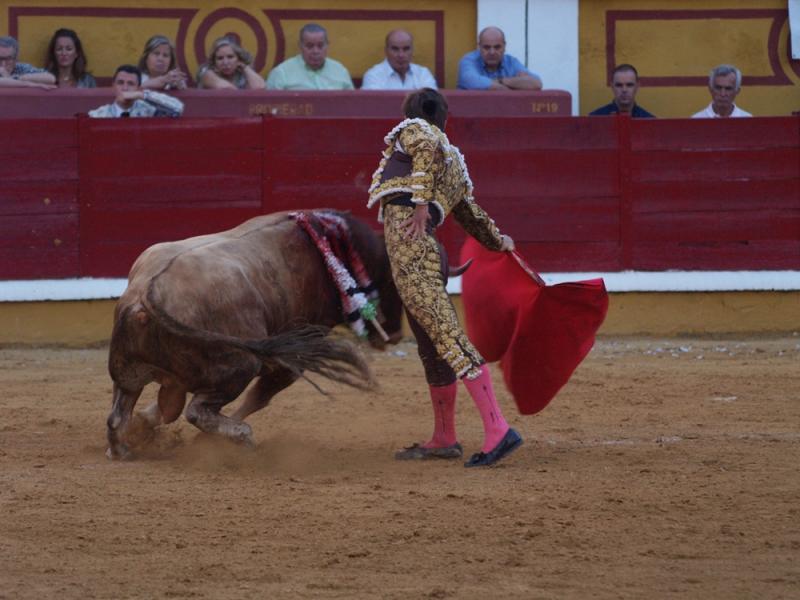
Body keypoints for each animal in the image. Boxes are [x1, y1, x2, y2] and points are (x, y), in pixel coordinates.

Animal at [106, 211, 404, 460]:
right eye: (392, 282)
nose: (396, 335)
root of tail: (146, 294)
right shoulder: (293, 360)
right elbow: (260, 397)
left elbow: (163, 410)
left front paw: (143, 425)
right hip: (240, 367)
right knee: (197, 411)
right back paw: (243, 436)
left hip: (128, 371)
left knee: (119, 412)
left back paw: (121, 447)